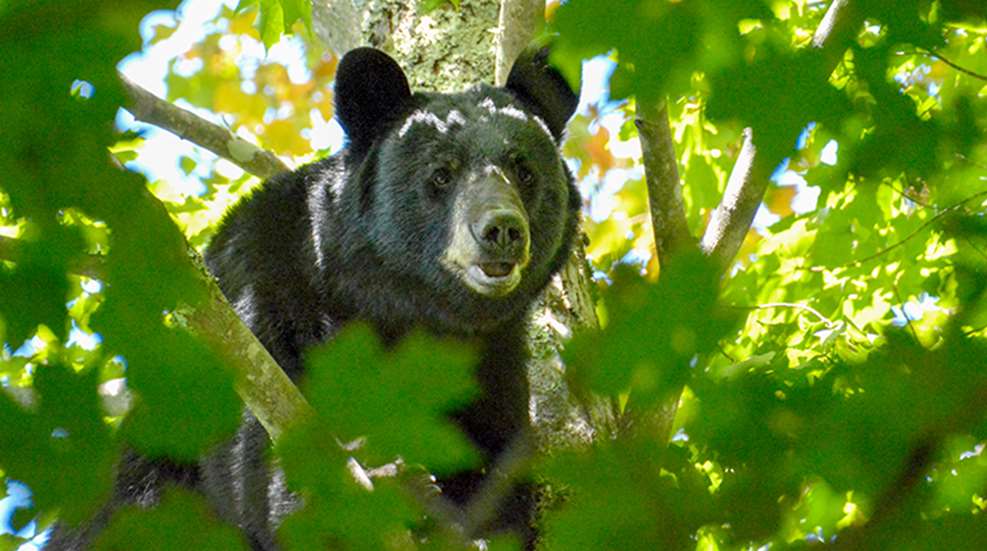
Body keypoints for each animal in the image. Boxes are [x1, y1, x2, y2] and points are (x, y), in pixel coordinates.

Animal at [47, 46, 580, 550]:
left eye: (524, 170)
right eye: (442, 173)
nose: (501, 230)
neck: (399, 307)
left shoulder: (492, 359)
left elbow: (496, 470)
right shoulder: (262, 293)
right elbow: (259, 454)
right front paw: (393, 483)